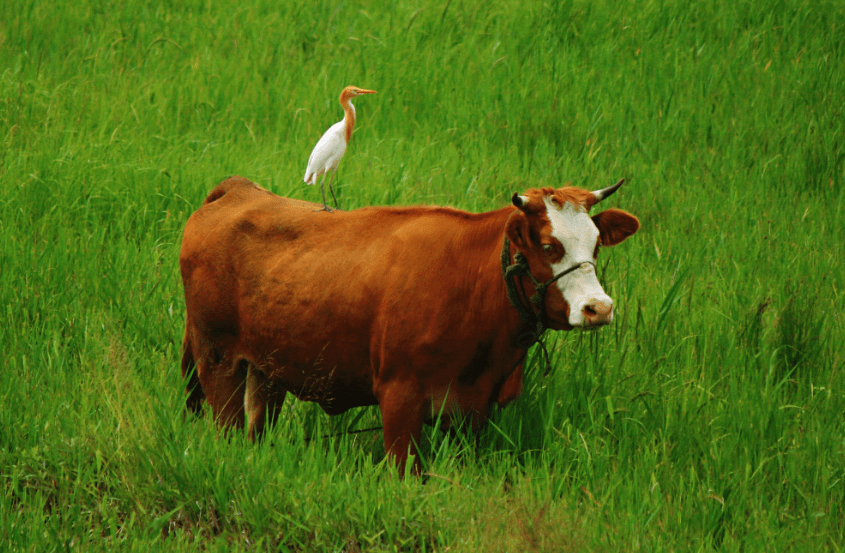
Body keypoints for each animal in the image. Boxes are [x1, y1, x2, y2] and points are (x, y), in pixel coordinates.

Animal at [180, 175, 640, 472]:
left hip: (267, 371)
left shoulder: (473, 410)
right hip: (218, 362)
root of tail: (240, 190)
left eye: (596, 245)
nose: (598, 307)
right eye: (548, 246)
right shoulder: (399, 397)